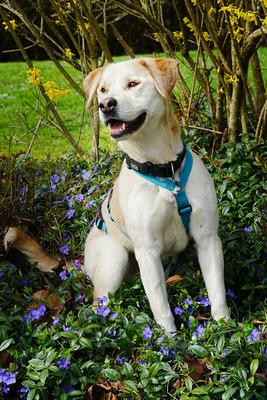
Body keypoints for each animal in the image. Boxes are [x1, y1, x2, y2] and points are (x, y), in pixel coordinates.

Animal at [4, 57, 230, 336]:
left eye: (133, 84)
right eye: (102, 90)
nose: (105, 104)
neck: (163, 171)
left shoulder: (208, 239)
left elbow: (217, 293)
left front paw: (227, 331)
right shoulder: (147, 250)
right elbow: (161, 305)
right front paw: (168, 340)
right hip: (114, 259)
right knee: (95, 306)